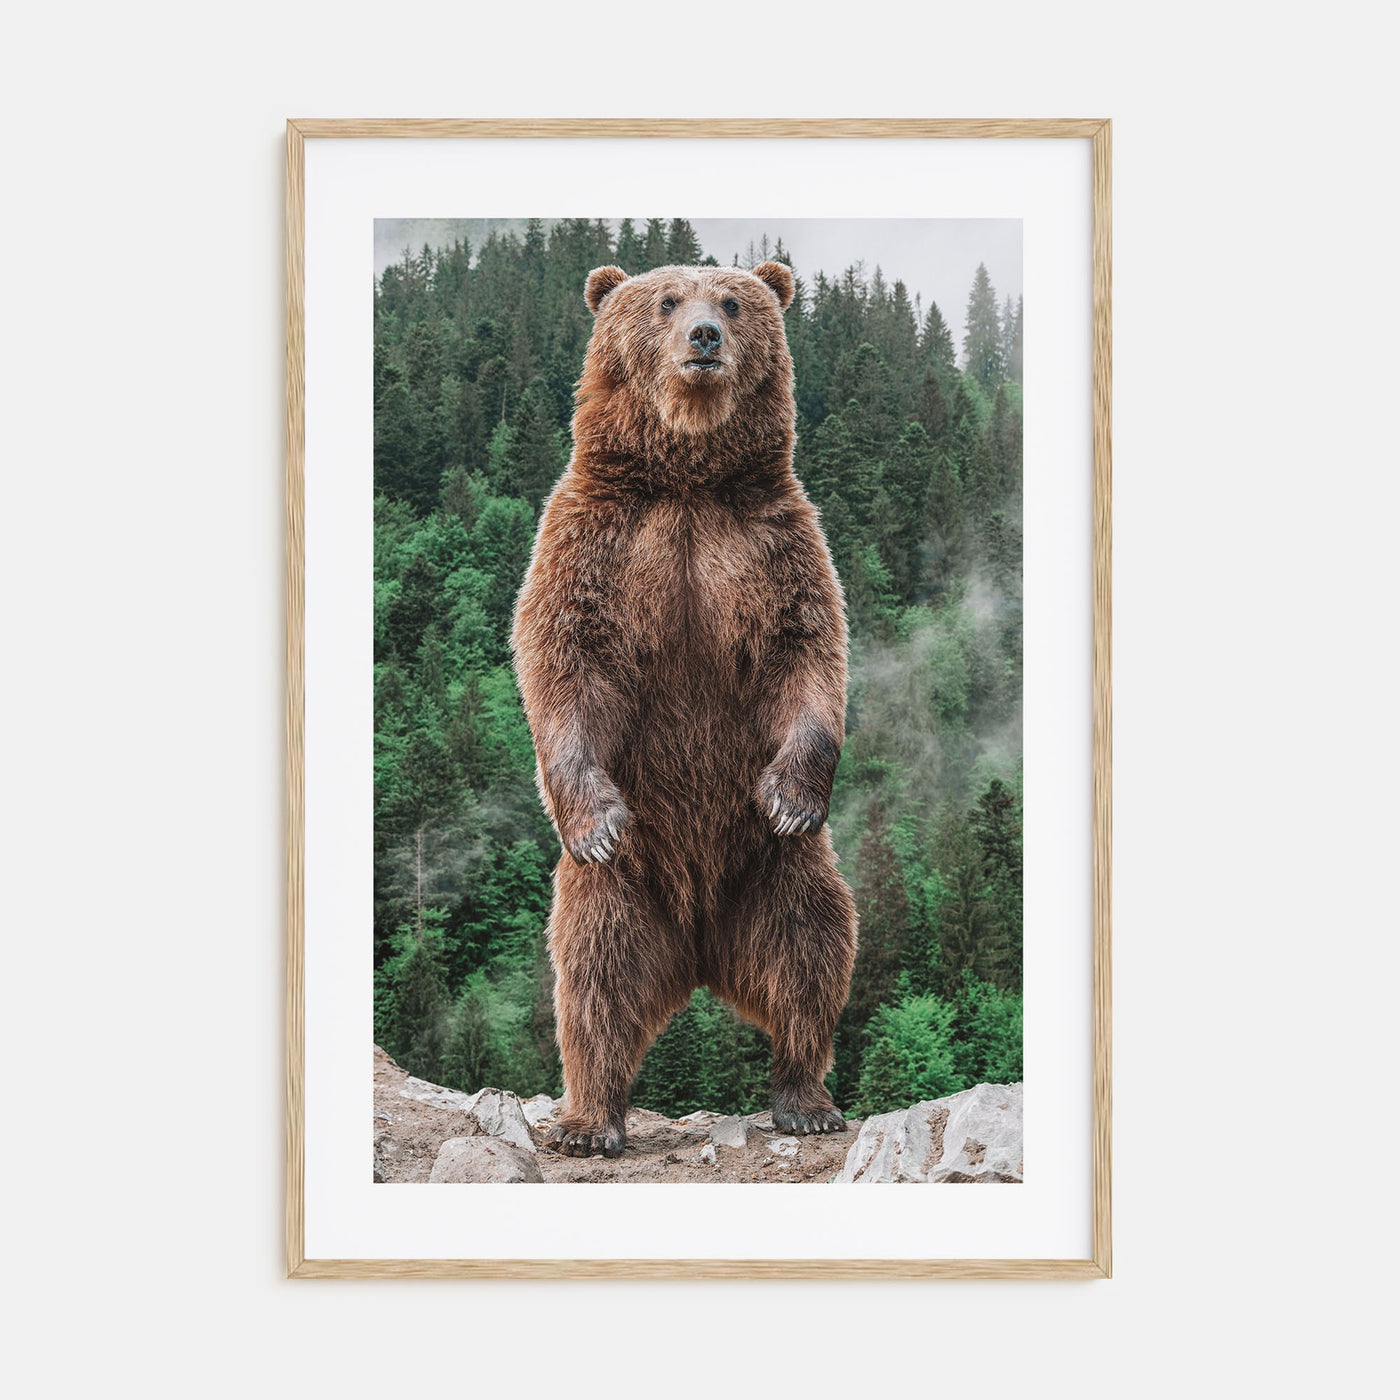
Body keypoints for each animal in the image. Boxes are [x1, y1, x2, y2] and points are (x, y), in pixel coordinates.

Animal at [510, 259, 857, 1158]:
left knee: (812, 949)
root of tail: (700, 949)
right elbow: (564, 658)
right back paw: (589, 1120)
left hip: (774, 871)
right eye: (666, 301)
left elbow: (807, 654)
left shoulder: (771, 542)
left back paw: (805, 1098)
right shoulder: (597, 540)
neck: (688, 479)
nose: (704, 336)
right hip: (625, 888)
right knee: (593, 977)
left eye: (733, 302)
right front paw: (595, 817)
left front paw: (790, 794)